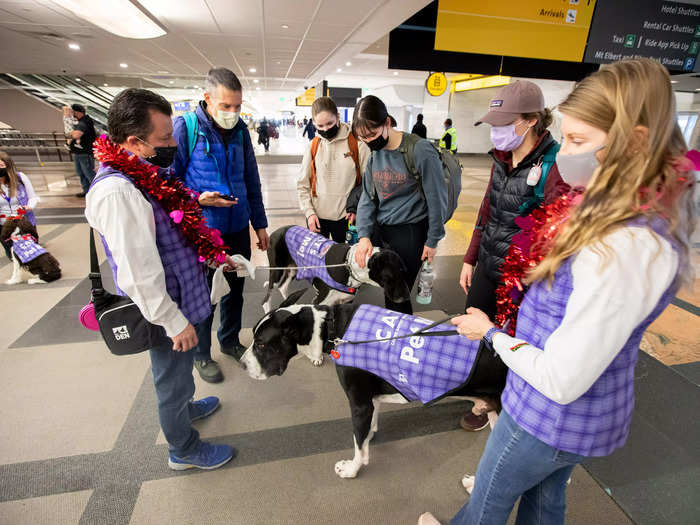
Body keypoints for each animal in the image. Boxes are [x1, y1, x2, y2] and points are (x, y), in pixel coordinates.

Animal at [241, 290, 504, 478]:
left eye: (261, 344)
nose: (242, 364)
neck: (330, 328)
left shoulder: (359, 405)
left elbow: (358, 444)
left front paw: (352, 468)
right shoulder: (370, 398)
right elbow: (367, 428)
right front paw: (369, 436)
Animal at [262, 224, 410, 312]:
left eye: (404, 273)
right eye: (388, 276)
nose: (406, 297)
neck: (348, 266)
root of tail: (276, 232)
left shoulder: (345, 302)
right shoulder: (319, 302)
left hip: (292, 269)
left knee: (283, 287)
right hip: (276, 272)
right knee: (267, 298)